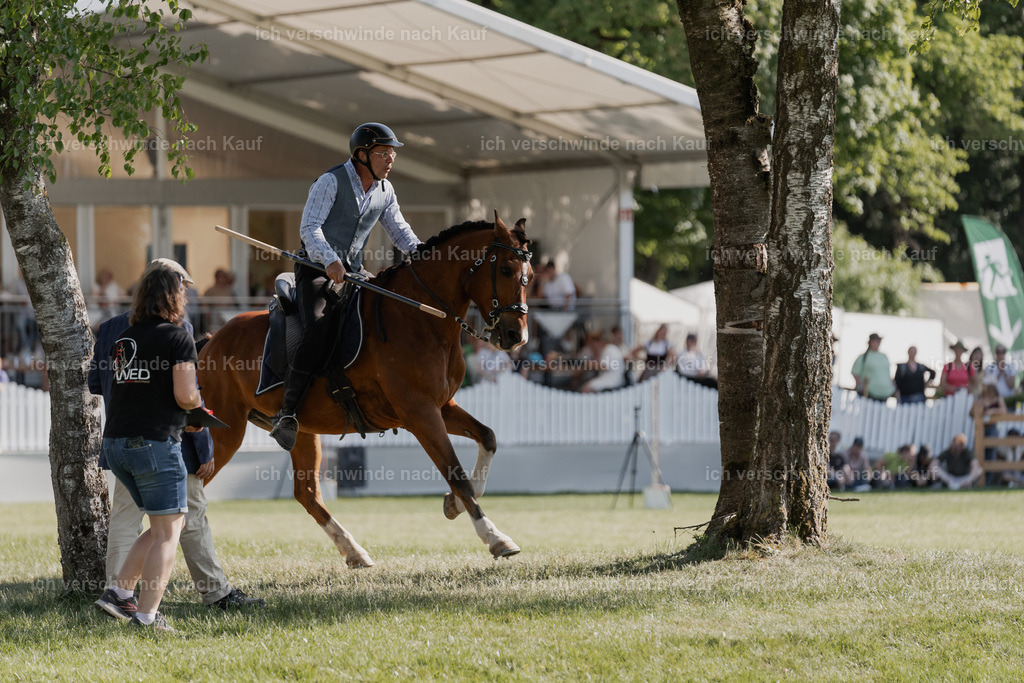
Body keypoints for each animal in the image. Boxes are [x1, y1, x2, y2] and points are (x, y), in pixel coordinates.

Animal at [196, 213, 533, 566]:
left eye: (530, 276)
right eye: (506, 270)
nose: (516, 336)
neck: (422, 316)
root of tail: (210, 343)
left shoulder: (441, 406)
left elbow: (487, 439)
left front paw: (452, 504)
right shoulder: (420, 413)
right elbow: (456, 474)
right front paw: (495, 537)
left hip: (302, 432)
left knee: (307, 493)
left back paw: (353, 550)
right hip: (225, 432)